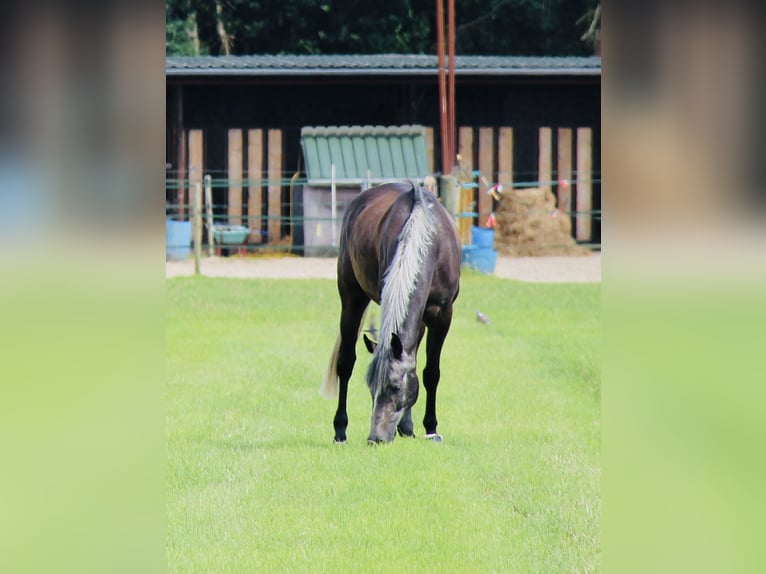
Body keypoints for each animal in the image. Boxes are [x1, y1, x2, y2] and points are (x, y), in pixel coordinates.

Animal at [320, 181, 462, 446]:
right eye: (370, 388)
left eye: (396, 387)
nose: (376, 438)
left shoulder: (442, 316)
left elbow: (430, 373)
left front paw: (430, 429)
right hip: (352, 297)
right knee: (346, 363)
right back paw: (340, 431)